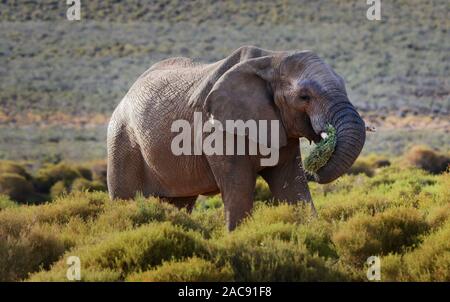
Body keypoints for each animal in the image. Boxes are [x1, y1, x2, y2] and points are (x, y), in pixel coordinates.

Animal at [108, 44, 366, 230]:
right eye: (304, 97)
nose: (315, 168)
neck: (272, 59)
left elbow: (293, 185)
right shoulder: (217, 128)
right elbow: (239, 187)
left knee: (180, 203)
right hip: (122, 140)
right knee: (124, 201)